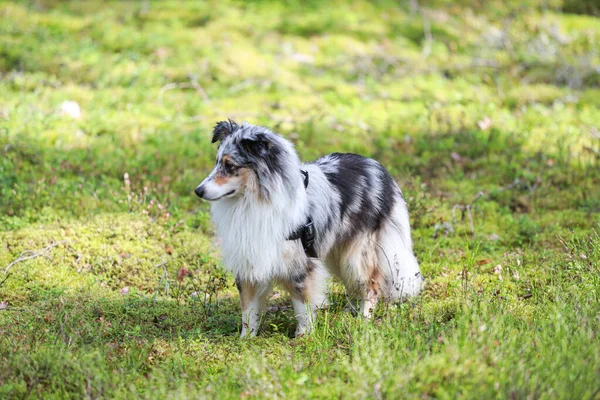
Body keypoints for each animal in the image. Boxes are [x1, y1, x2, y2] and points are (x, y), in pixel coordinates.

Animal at [195, 119, 424, 338]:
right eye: (217, 162)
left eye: (230, 165)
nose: (198, 191)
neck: (253, 201)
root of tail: (378, 168)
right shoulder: (249, 261)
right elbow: (248, 310)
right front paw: (245, 340)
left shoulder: (300, 264)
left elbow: (302, 305)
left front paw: (302, 337)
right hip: (336, 253)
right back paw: (350, 312)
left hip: (356, 254)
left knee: (370, 285)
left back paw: (363, 319)